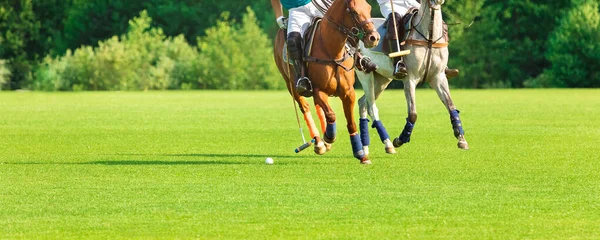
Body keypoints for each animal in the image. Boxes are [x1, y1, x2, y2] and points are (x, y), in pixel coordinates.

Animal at [274, 0, 378, 164]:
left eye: (368, 8)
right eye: (353, 11)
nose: (374, 38)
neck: (332, 50)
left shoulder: (349, 92)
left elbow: (351, 122)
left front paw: (361, 154)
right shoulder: (318, 90)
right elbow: (331, 115)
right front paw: (329, 136)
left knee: (318, 107)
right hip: (290, 83)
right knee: (305, 107)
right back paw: (319, 142)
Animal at [356, 0, 468, 155]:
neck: (429, 37)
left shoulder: (438, 77)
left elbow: (451, 106)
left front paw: (461, 139)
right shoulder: (410, 79)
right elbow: (413, 113)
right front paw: (401, 139)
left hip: (382, 79)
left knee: (363, 103)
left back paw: (368, 148)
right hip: (365, 74)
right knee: (371, 106)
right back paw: (386, 145)